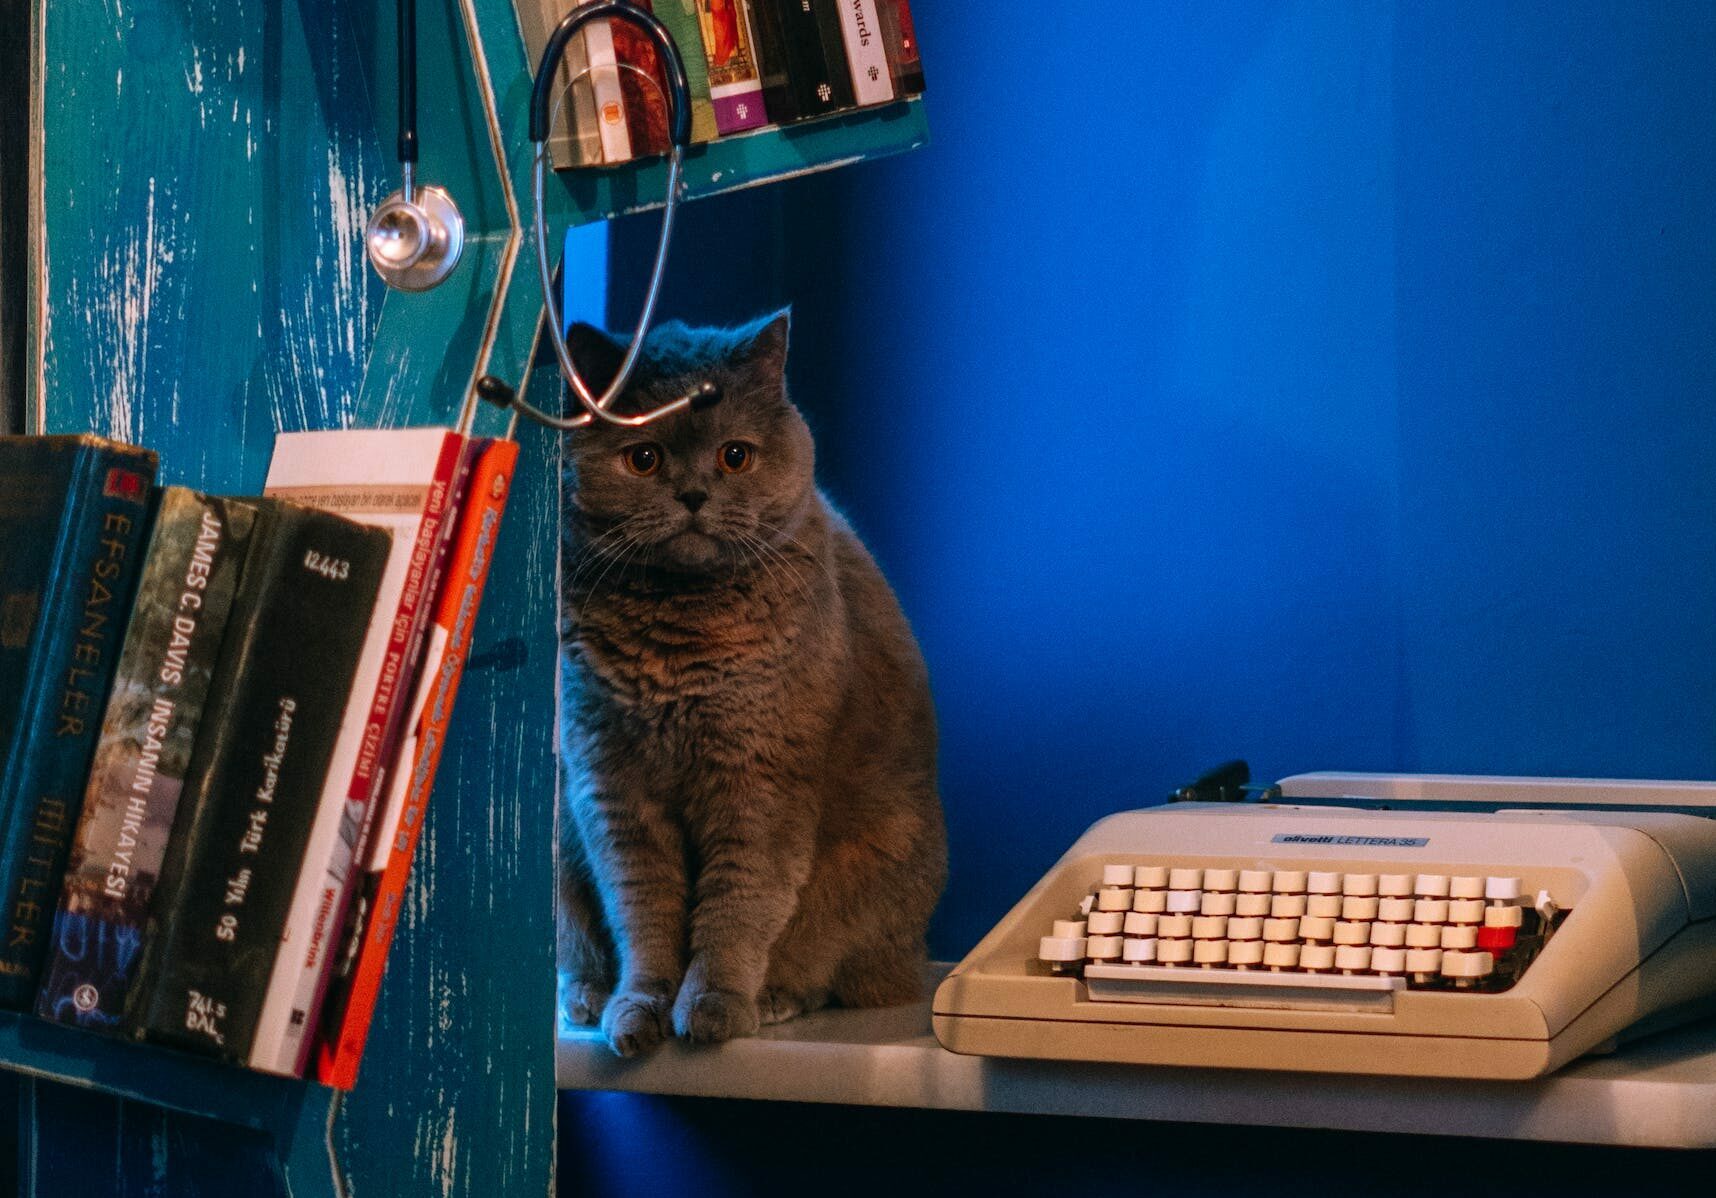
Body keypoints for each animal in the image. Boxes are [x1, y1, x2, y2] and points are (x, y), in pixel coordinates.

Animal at [555, 310, 947, 1057]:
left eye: (735, 455)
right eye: (644, 458)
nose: (693, 495)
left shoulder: (760, 782)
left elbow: (740, 903)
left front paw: (711, 1007)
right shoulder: (612, 788)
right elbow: (643, 911)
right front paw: (637, 1011)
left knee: (829, 967)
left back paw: (773, 998)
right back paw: (588, 999)